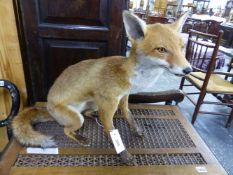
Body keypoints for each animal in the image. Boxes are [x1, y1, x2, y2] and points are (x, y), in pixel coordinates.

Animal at [11, 10, 192, 164]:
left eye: (182, 47)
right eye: (161, 49)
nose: (188, 70)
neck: (132, 76)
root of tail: (48, 108)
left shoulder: (124, 97)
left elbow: (129, 115)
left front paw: (136, 130)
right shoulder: (110, 102)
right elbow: (111, 132)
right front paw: (123, 154)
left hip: (93, 103)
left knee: (87, 113)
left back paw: (94, 114)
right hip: (77, 118)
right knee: (67, 130)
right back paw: (81, 138)